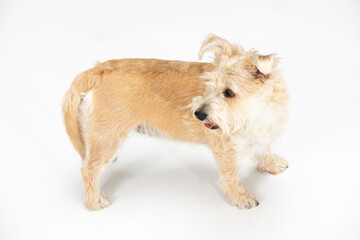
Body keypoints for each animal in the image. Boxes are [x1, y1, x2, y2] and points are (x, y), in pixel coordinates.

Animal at [62, 33, 290, 210]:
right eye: (209, 85)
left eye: (229, 92)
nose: (198, 114)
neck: (256, 111)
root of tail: (99, 69)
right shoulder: (225, 150)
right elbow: (231, 176)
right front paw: (240, 197)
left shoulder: (263, 132)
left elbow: (264, 148)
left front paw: (270, 163)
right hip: (108, 138)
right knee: (88, 169)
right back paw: (94, 202)